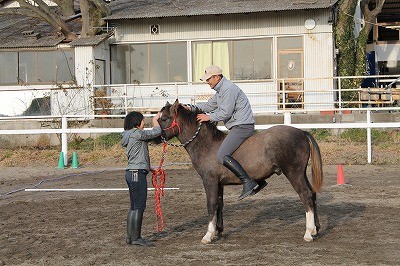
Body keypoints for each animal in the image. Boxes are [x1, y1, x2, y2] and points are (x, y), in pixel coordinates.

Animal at [158, 99, 324, 243]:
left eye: (164, 119)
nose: (157, 138)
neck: (207, 144)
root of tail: (302, 132)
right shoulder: (219, 184)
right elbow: (219, 204)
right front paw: (218, 231)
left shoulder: (210, 181)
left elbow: (211, 205)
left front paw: (208, 235)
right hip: (301, 173)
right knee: (312, 194)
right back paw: (315, 229)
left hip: (293, 173)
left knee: (305, 195)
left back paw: (308, 232)